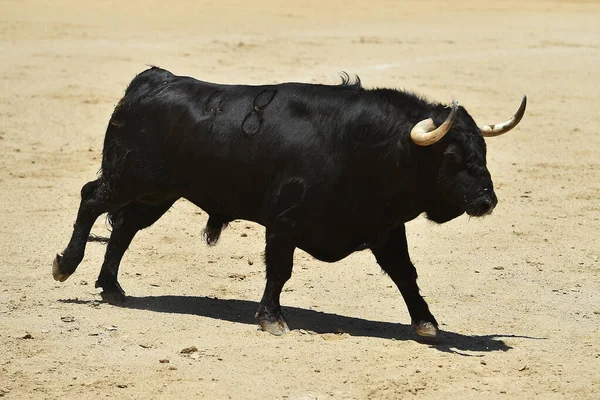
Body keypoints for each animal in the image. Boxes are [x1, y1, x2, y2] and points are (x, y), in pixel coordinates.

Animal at [52, 67, 524, 340]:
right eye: (453, 157)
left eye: (483, 151)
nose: (487, 200)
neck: (359, 142)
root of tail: (151, 80)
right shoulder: (284, 221)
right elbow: (280, 269)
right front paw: (271, 318)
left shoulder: (384, 227)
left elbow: (405, 274)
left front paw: (426, 322)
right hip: (131, 177)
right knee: (92, 200)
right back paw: (66, 266)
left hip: (158, 194)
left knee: (125, 227)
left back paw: (112, 287)